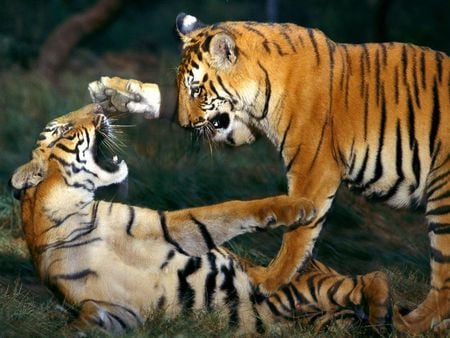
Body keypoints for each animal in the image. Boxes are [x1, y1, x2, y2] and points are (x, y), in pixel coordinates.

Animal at [8, 103, 392, 332]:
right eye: (64, 128)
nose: (101, 105)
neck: (71, 211)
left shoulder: (168, 228)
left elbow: (230, 209)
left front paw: (299, 207)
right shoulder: (110, 310)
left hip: (310, 284)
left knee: (372, 277)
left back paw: (383, 317)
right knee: (367, 284)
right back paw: (379, 320)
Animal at [92, 12, 450, 332]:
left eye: (197, 90)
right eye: (181, 88)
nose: (183, 124)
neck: (260, 90)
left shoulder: (313, 167)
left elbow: (299, 234)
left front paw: (268, 279)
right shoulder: (240, 127)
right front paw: (123, 93)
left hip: (443, 197)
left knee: (443, 279)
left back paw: (408, 324)